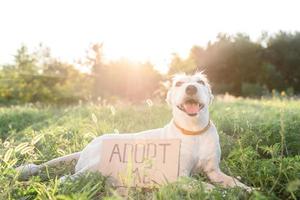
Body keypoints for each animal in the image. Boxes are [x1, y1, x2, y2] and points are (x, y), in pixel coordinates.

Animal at [17, 72, 253, 192]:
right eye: (178, 83)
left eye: (201, 82)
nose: (191, 88)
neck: (192, 130)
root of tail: (86, 147)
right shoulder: (179, 177)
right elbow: (209, 189)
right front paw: (226, 194)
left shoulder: (214, 171)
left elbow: (233, 182)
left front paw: (249, 190)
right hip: (96, 166)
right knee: (68, 179)